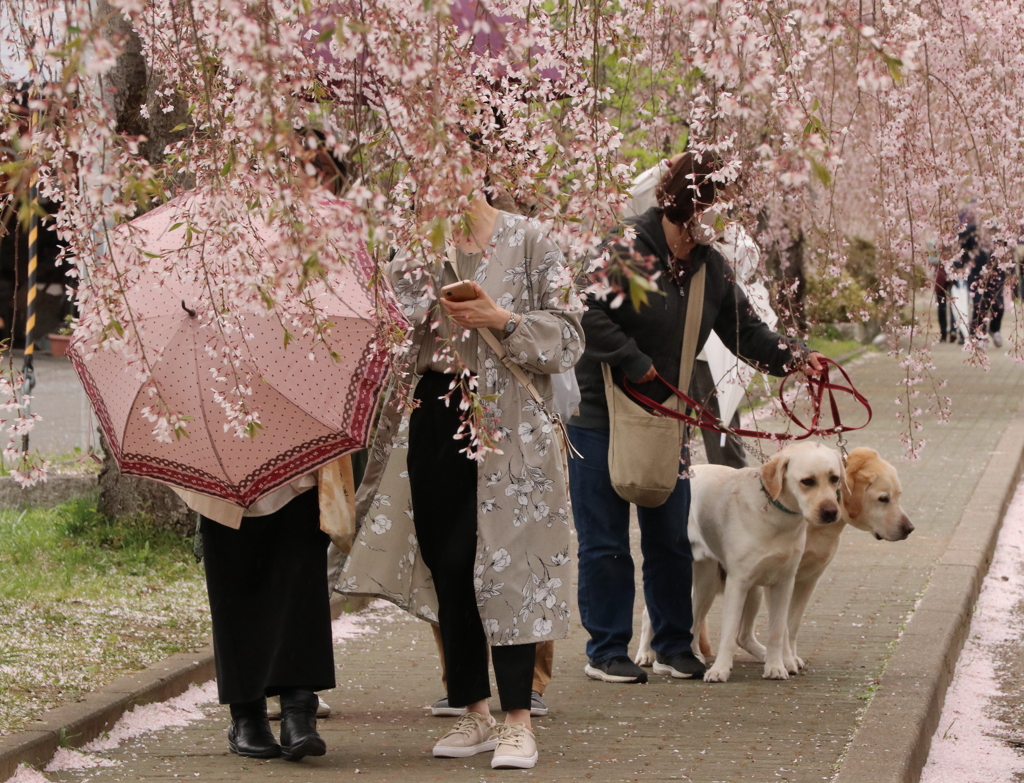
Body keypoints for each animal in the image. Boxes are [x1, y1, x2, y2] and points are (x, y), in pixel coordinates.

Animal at [634, 442, 843, 679]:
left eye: (834, 478)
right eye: (807, 481)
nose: (831, 512)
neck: (776, 515)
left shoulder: (785, 582)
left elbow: (778, 630)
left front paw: (775, 667)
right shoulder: (738, 583)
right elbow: (729, 632)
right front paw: (720, 670)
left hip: (709, 584)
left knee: (695, 620)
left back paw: (694, 656)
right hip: (676, 573)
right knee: (650, 613)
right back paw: (647, 654)